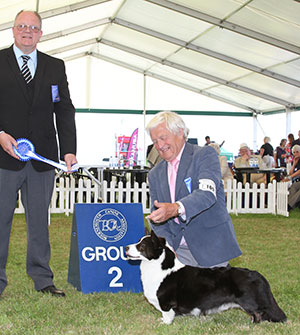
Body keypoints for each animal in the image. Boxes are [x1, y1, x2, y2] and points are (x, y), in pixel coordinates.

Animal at [125, 231, 288, 326]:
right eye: (138, 241)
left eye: (141, 246)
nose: (126, 248)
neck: (159, 267)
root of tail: (258, 275)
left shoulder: (166, 303)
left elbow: (167, 314)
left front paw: (164, 323)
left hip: (250, 301)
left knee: (260, 312)